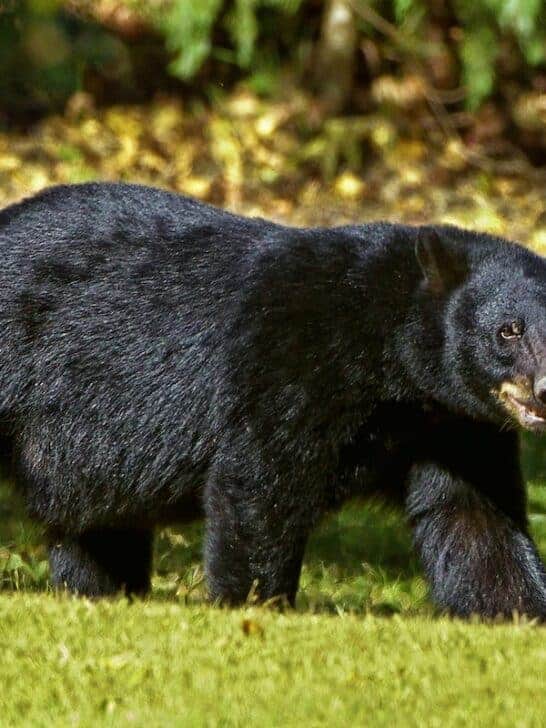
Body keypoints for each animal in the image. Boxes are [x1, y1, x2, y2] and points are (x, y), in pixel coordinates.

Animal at [0, 181, 546, 619]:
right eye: (508, 330)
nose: (542, 389)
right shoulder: (291, 357)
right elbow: (261, 482)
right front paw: (255, 604)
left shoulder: (454, 423)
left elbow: (474, 516)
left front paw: (518, 611)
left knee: (95, 525)